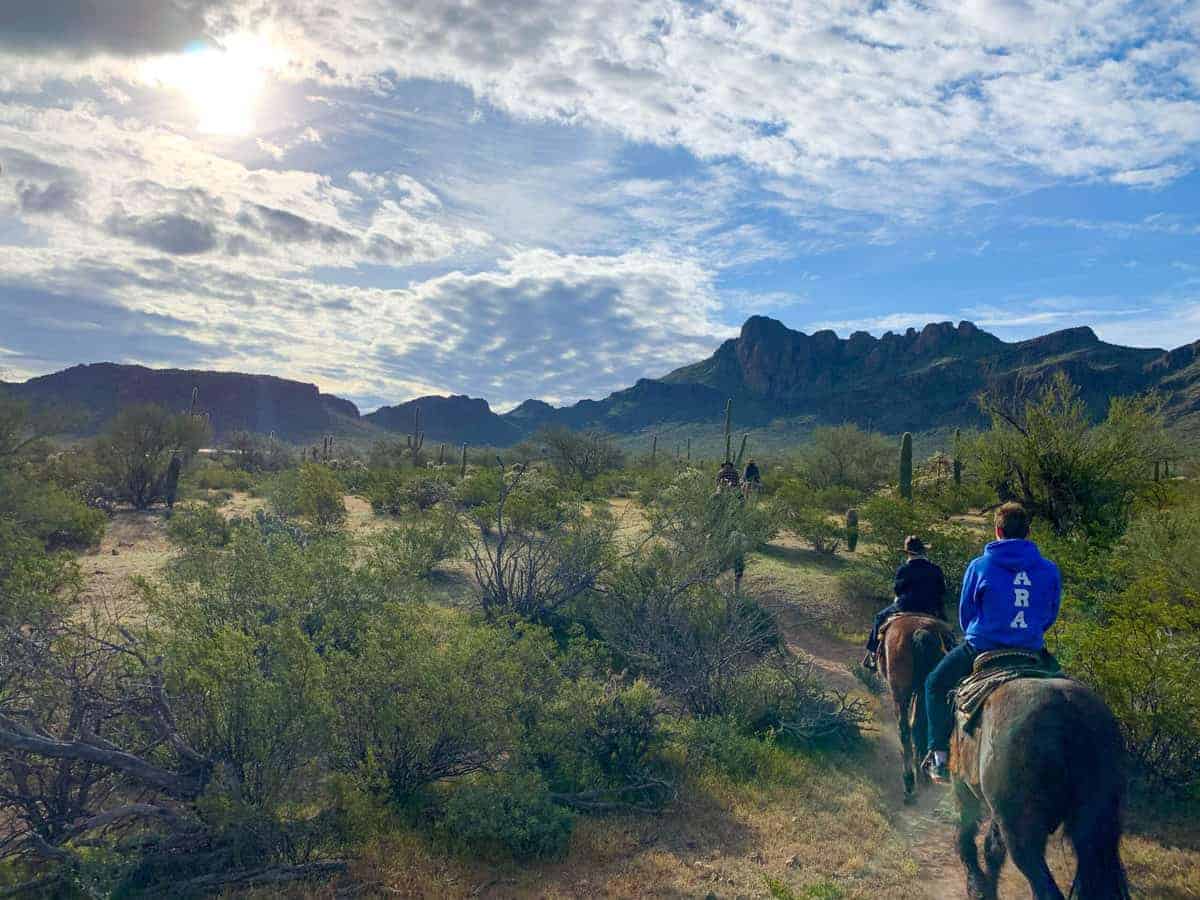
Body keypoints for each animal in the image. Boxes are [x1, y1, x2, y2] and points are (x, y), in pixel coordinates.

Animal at [945, 681, 1132, 897]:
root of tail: (1069, 711)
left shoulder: (963, 788)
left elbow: (966, 834)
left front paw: (977, 886)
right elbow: (992, 848)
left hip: (1022, 835)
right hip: (1094, 830)